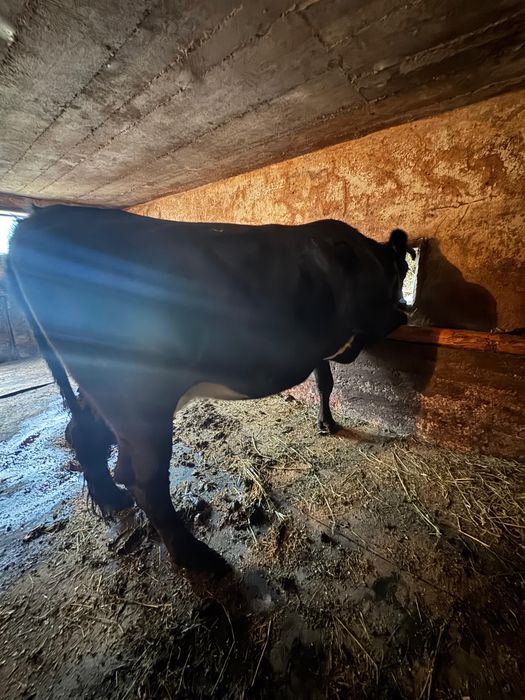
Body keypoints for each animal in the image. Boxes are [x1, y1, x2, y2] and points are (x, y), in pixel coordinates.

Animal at [8, 205, 414, 575]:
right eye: (403, 270)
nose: (401, 294)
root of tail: (34, 221)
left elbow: (323, 381)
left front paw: (326, 423)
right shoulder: (370, 320)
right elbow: (371, 339)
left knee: (84, 434)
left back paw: (111, 499)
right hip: (138, 396)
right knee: (144, 479)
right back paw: (197, 558)